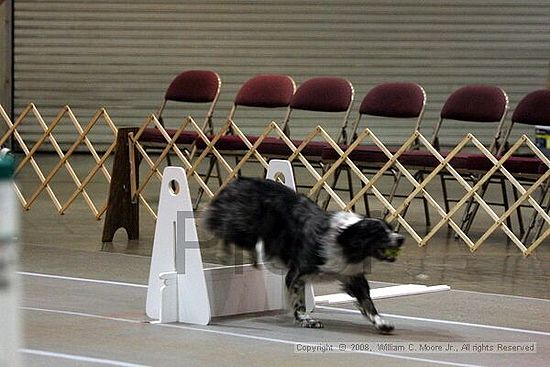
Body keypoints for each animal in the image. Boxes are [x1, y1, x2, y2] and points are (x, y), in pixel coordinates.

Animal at [204, 178, 406, 334]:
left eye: (391, 228)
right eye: (379, 233)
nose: (401, 238)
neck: (343, 240)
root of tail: (239, 181)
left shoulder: (351, 275)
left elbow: (367, 302)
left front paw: (381, 323)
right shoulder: (298, 273)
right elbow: (298, 300)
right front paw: (306, 319)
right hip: (244, 226)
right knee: (221, 228)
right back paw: (224, 254)